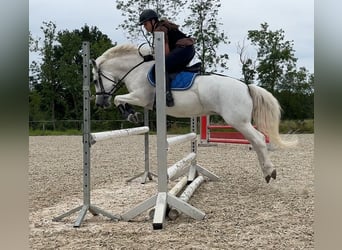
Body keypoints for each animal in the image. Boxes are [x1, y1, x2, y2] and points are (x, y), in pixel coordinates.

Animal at [91, 44, 296, 183]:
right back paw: (267, 171)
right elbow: (121, 100)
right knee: (257, 140)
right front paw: (132, 114)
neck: (137, 70)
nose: (100, 103)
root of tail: (246, 86)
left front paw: (130, 114)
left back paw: (269, 172)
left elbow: (119, 99)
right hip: (240, 121)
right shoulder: (142, 100)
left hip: (239, 122)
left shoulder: (141, 97)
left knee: (259, 140)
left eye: (94, 80)